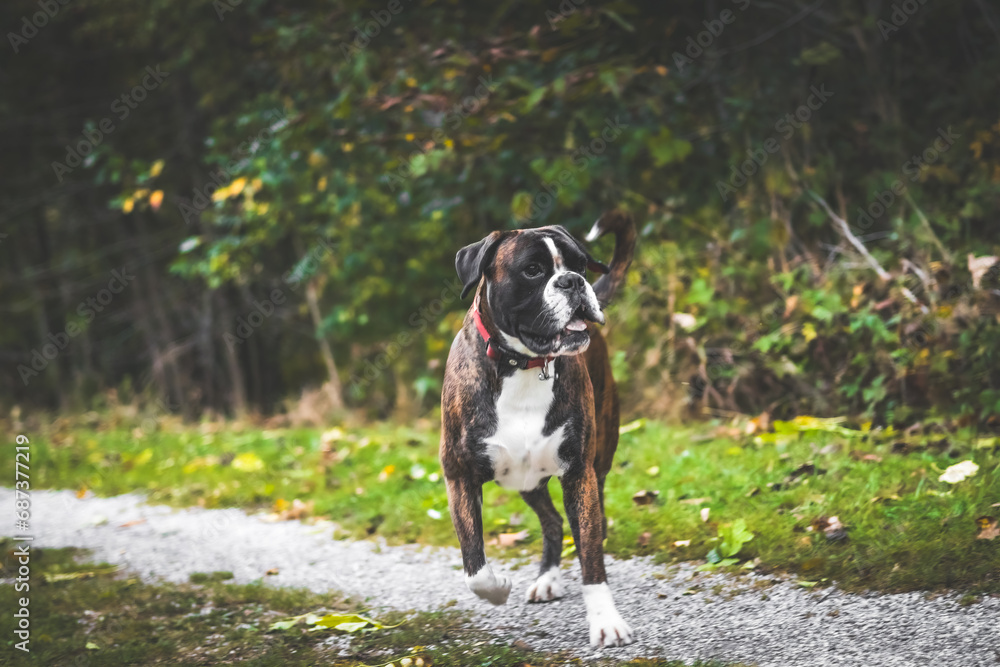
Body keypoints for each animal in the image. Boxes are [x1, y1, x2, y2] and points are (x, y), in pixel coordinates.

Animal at [440, 210, 640, 648]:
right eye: (532, 271)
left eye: (580, 264)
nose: (573, 282)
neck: (523, 365)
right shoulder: (459, 476)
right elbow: (474, 564)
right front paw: (497, 589)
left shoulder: (579, 473)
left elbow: (590, 554)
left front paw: (605, 620)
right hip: (526, 480)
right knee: (551, 522)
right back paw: (547, 578)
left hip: (594, 464)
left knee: (587, 526)